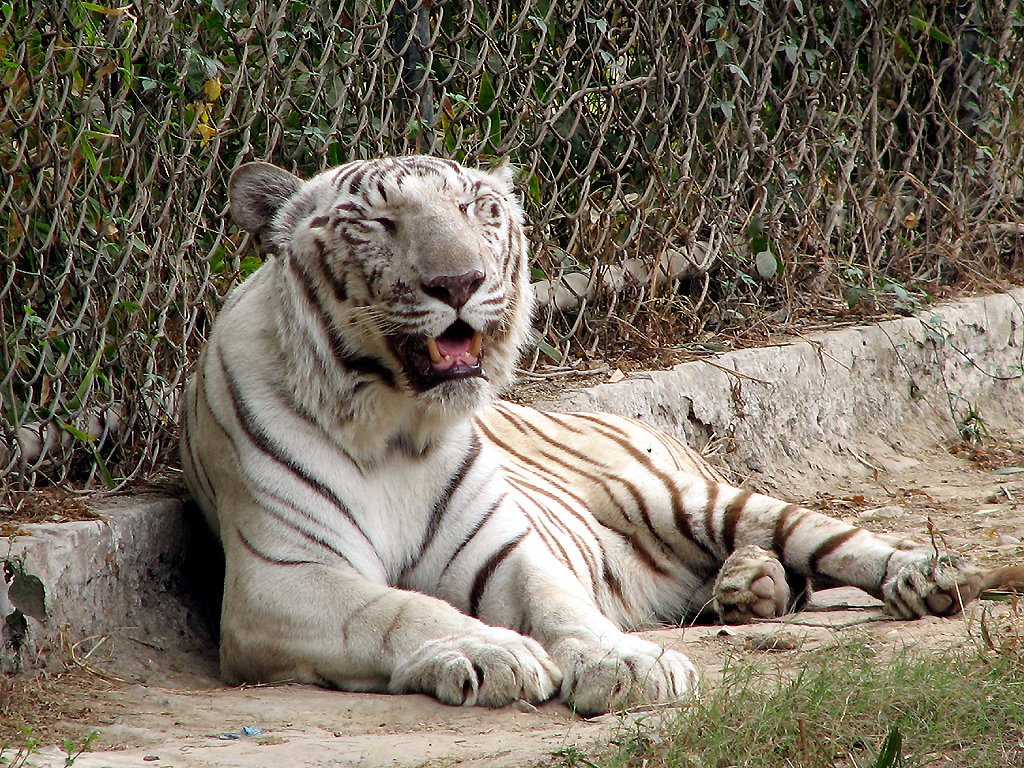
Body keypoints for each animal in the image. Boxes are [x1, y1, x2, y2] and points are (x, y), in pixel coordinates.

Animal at [180, 156, 1019, 716]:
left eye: (478, 210)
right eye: (382, 224)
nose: (458, 283)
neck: (399, 428)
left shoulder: (504, 548)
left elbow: (560, 604)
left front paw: (626, 666)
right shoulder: (281, 579)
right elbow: (400, 610)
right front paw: (495, 651)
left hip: (684, 495)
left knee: (827, 538)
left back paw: (923, 575)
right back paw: (750, 588)